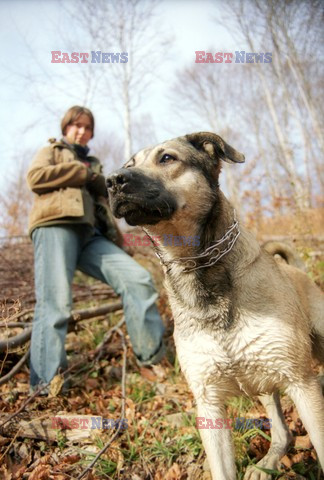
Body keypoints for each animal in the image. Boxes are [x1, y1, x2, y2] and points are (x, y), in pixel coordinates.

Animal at [107, 132, 324, 480]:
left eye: (166, 158)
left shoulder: (300, 382)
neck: (196, 266)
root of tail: (297, 271)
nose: (112, 180)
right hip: (264, 383)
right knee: (282, 431)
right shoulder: (209, 404)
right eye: (129, 164)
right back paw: (267, 463)